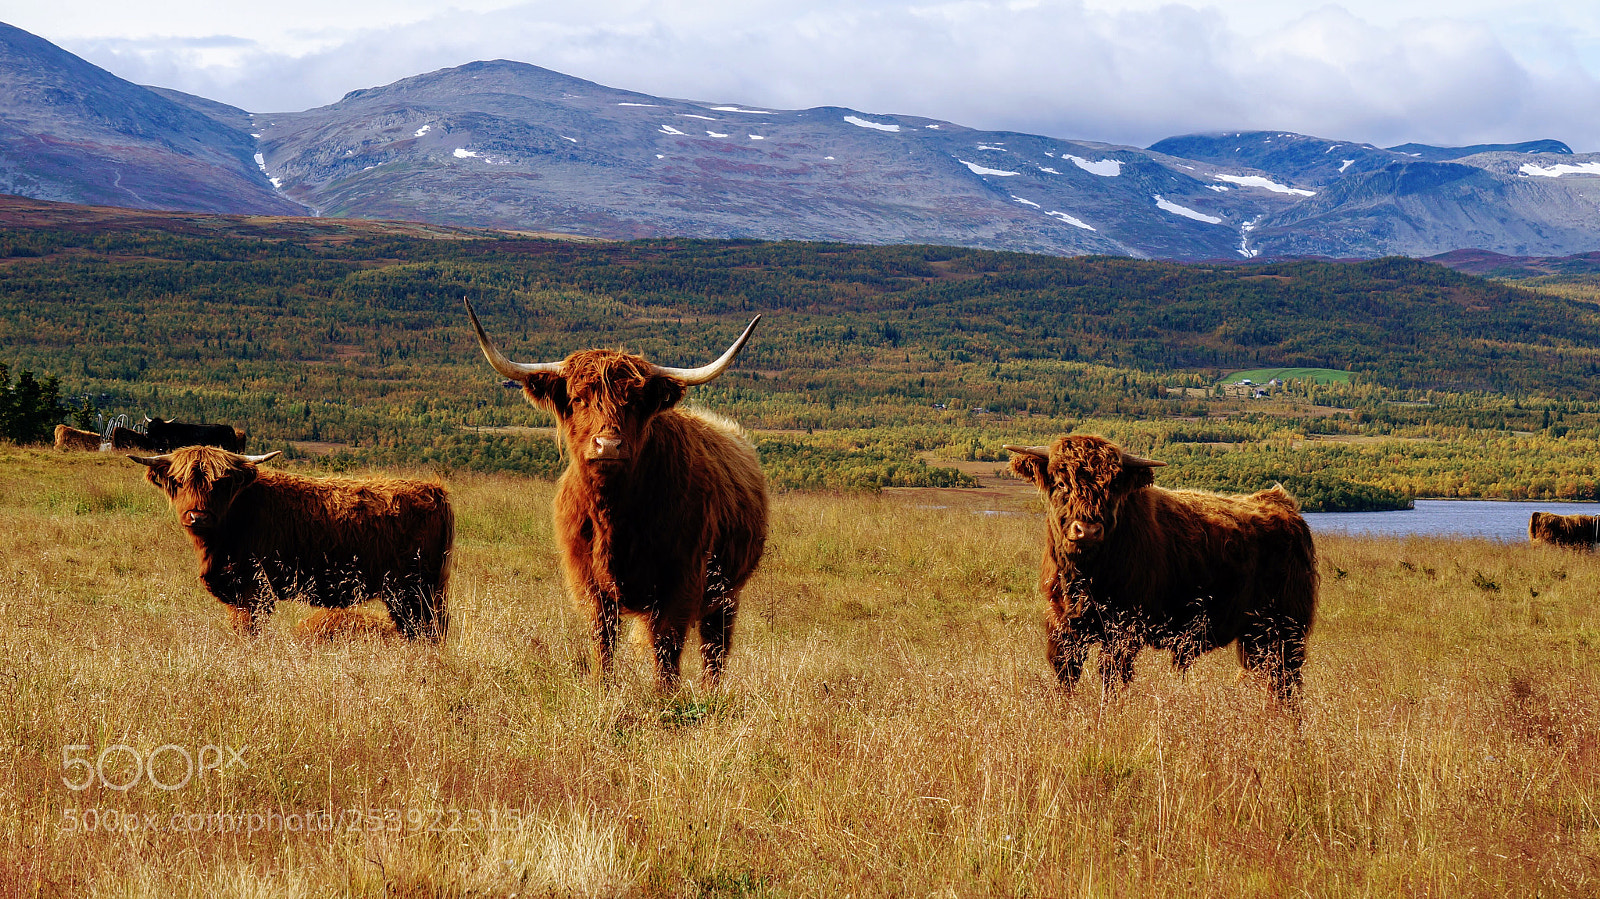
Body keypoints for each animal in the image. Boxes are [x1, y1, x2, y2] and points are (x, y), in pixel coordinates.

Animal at [130, 447, 452, 642]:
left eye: (220, 483)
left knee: (425, 630)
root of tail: (434, 490)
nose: (198, 516)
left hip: (411, 589)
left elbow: (248, 628)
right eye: (179, 482)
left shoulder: (255, 588)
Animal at [466, 299, 768, 688]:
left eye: (635, 402)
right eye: (578, 399)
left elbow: (667, 647)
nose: (608, 445)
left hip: (727, 592)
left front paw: (666, 696)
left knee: (715, 649)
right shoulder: (590, 583)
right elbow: (604, 639)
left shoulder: (682, 580)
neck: (614, 515)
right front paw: (603, 687)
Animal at [1006, 434, 1318, 702]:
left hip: (1285, 629)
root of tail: (1282, 504)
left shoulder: (1123, 630)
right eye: (1061, 483)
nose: (1088, 530)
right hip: (1255, 636)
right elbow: (1066, 675)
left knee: (1286, 683)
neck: (1085, 574)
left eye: (1113, 486)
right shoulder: (1062, 627)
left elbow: (1112, 678)